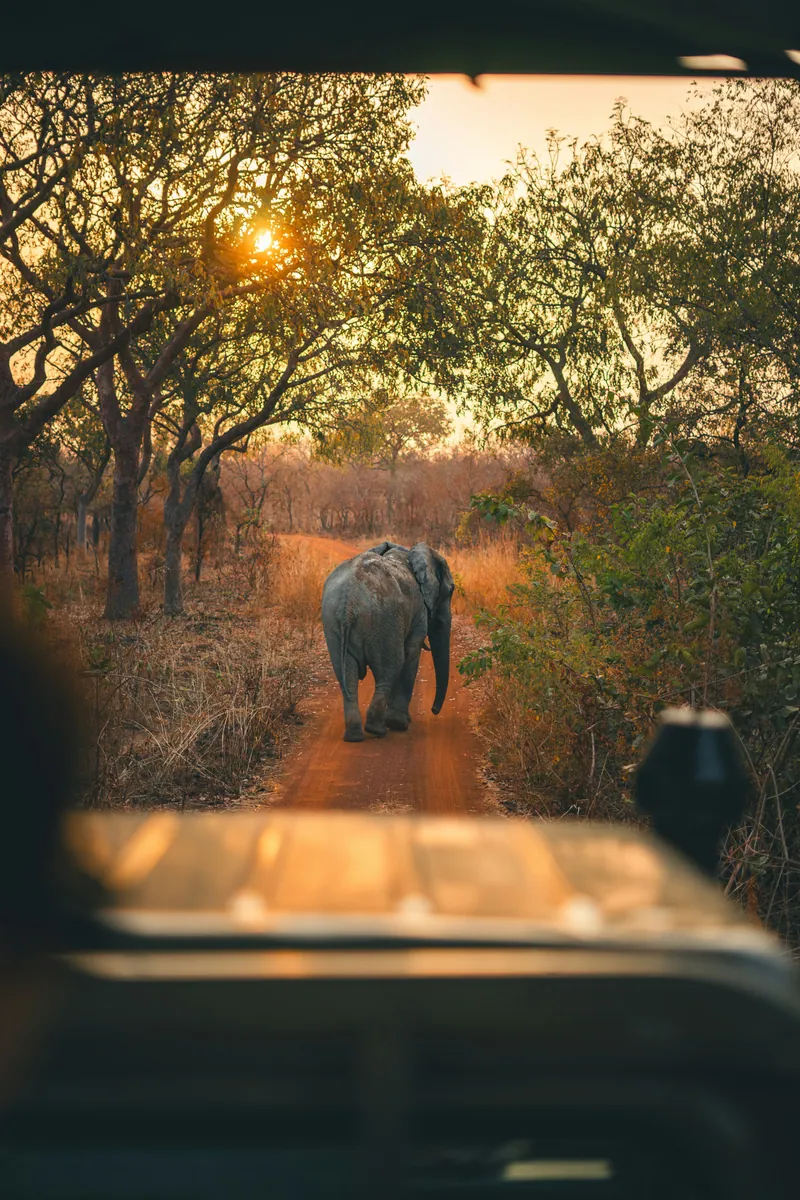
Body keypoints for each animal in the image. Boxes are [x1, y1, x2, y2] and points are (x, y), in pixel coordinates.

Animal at [321, 540, 455, 742]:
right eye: (451, 590)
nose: (434, 710)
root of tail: (348, 602)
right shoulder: (419, 611)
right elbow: (411, 652)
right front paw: (400, 723)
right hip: (383, 618)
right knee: (391, 667)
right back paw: (379, 729)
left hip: (333, 622)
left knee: (347, 676)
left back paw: (354, 735)